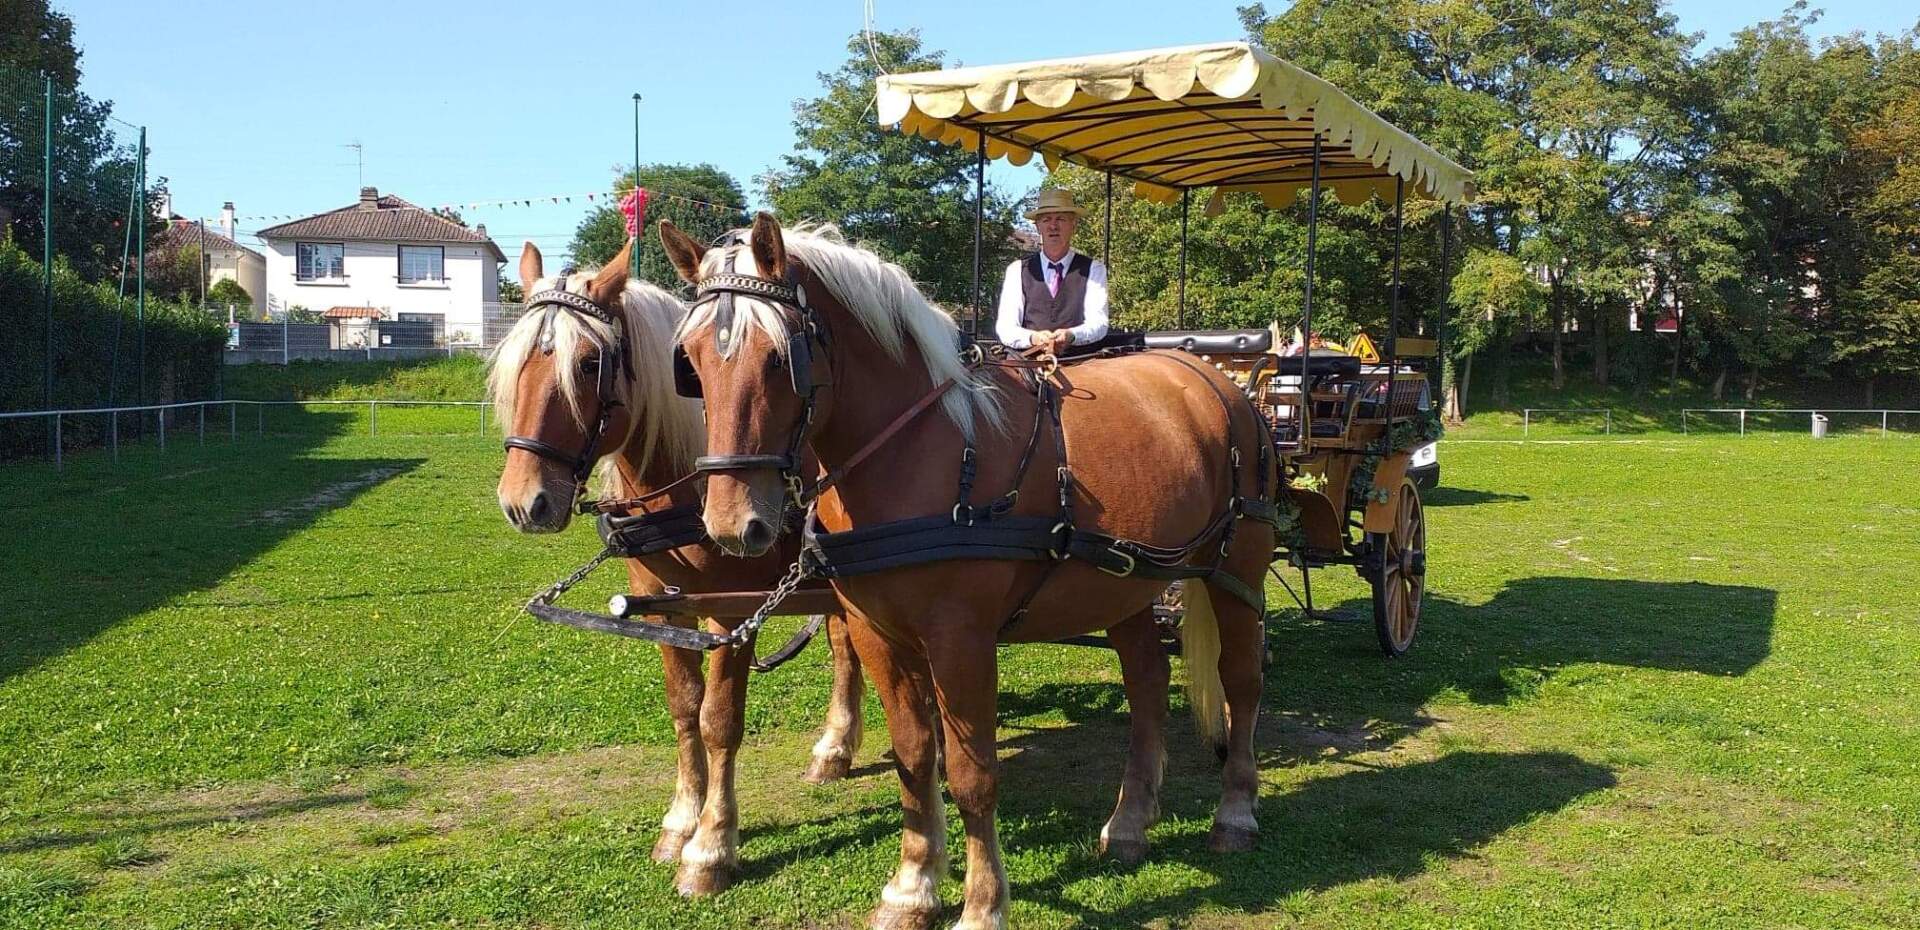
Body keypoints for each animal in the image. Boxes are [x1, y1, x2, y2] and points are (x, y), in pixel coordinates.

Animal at [489, 240, 867, 897]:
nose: (522, 502)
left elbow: (719, 720)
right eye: (517, 363)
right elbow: (684, 707)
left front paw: (711, 847)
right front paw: (680, 822)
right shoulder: (665, 607)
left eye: (588, 364)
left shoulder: (732, 615)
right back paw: (835, 750)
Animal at [660, 214, 1275, 930]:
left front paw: (982, 903)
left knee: (1241, 680)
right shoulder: (876, 633)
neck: (921, 450)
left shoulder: (962, 640)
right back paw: (1129, 822)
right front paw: (912, 886)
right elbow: (914, 755)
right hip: (1122, 585)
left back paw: (1235, 813)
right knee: (1147, 683)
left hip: (1238, 571)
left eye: (780, 358)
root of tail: (1213, 377)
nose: (735, 525)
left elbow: (971, 773)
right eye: (691, 362)